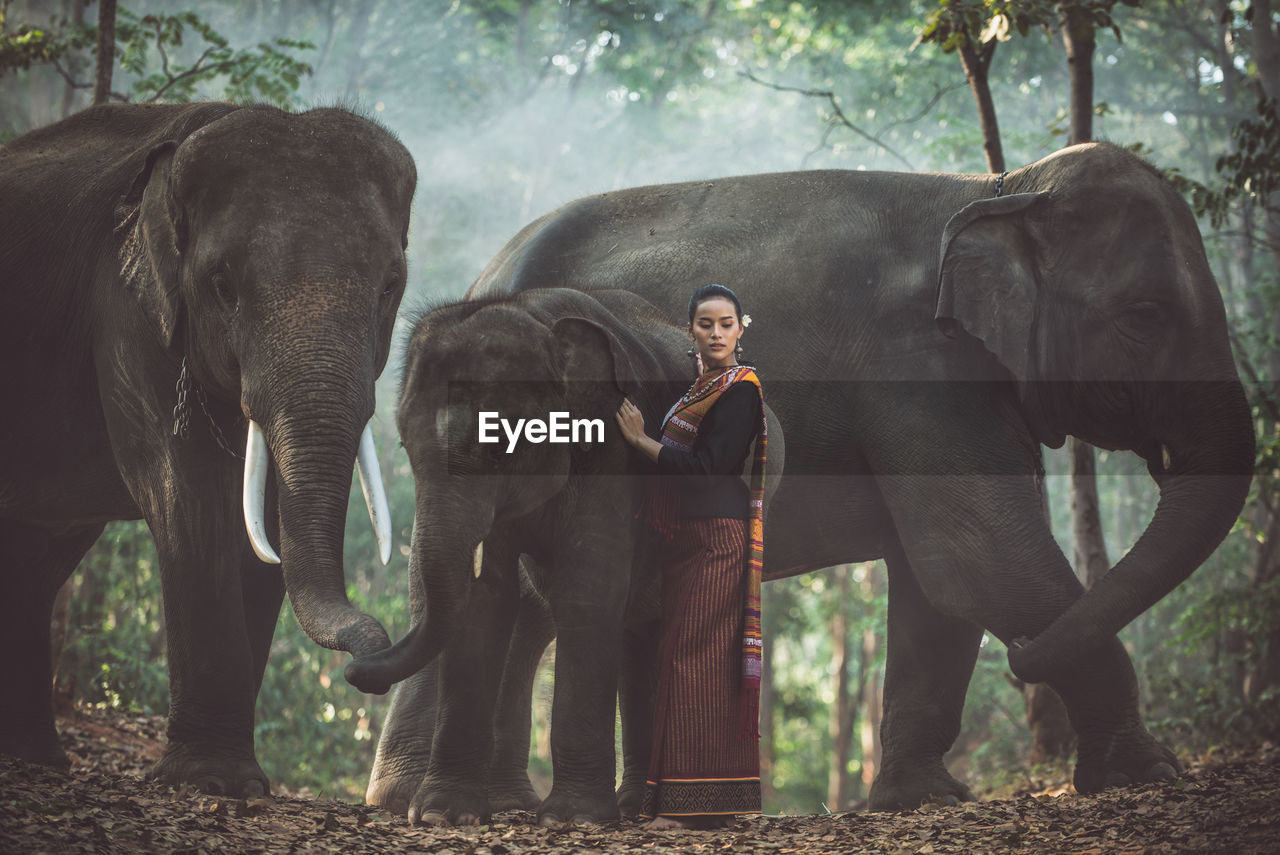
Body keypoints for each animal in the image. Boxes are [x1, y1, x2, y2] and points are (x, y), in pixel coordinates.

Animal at [0, 103, 414, 798]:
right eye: (223, 284)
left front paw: (231, 777)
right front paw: (213, 781)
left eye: (390, 286)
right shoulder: (127, 313)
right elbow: (191, 500)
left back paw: (32, 759)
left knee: (39, 557)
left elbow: (265, 525)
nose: (369, 670)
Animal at [345, 289, 778, 829]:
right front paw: (442, 815)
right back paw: (639, 808)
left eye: (500, 448)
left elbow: (587, 589)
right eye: (406, 446)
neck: (536, 316)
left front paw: (573, 819)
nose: (355, 672)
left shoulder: (611, 455)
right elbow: (487, 598)